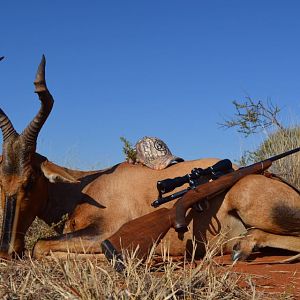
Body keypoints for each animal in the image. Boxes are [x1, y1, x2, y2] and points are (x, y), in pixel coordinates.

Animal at [0, 56, 298, 262]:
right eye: (2, 182)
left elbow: (41, 246)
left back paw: (243, 246)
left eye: (30, 181)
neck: (85, 188)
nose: (7, 251)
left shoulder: (105, 232)